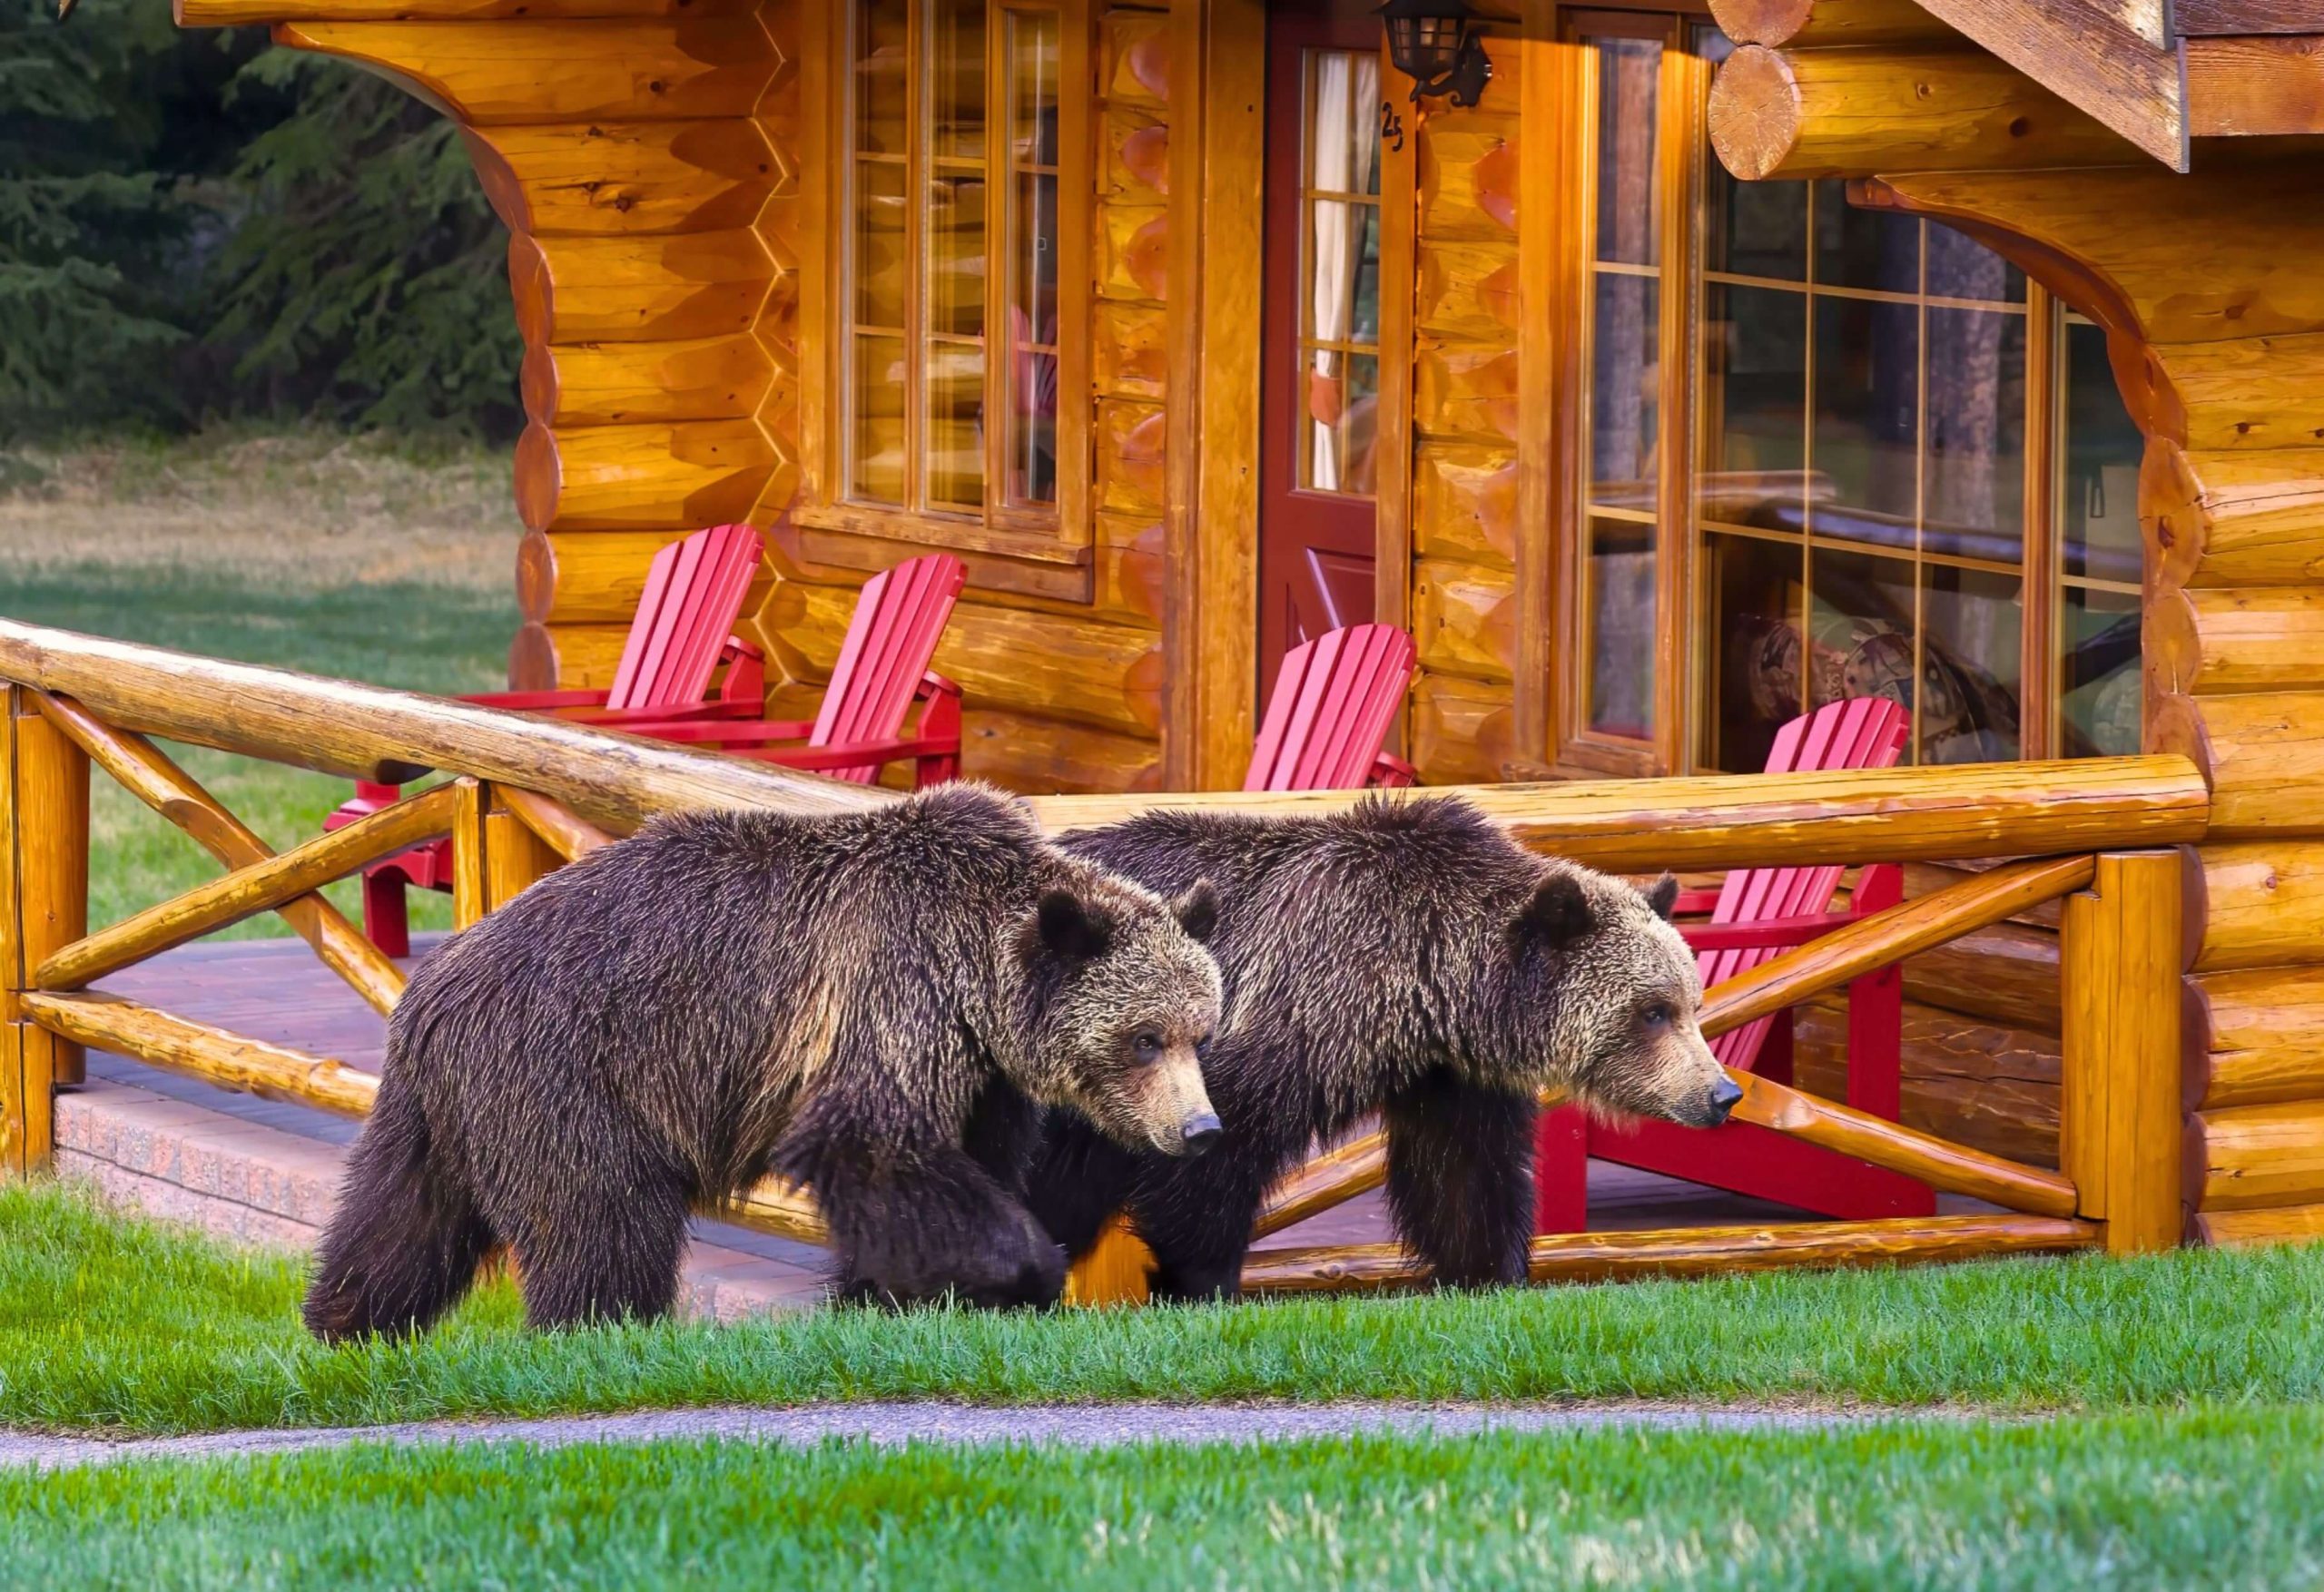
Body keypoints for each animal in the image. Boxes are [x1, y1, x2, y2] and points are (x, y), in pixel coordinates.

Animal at [303, 781, 1224, 1340]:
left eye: (1200, 1030)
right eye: (1146, 1037)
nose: (1199, 1128)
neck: (978, 968)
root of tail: (430, 987)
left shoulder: (981, 1073)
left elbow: (965, 1163)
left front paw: (888, 1294)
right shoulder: (892, 983)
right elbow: (871, 1144)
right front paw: (1022, 1268)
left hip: (444, 1107)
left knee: (398, 1219)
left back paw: (345, 1324)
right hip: (565, 1073)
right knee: (601, 1222)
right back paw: (593, 1328)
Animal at [1024, 794, 1738, 1301]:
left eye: (1692, 1003)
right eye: (1653, 1011)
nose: (1722, 1092)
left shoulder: (1448, 1074)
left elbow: (1465, 1177)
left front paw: (1488, 1271)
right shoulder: (1279, 1017)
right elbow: (1210, 1167)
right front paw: (1202, 1280)